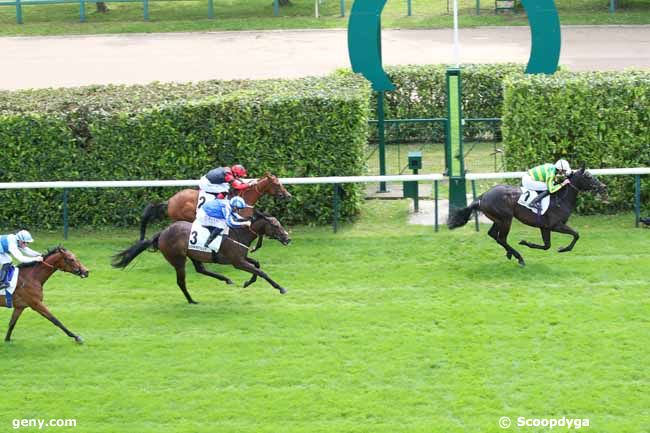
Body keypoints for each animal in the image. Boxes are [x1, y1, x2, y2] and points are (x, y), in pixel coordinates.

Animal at [114, 211, 292, 302]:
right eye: (275, 225)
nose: (288, 238)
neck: (238, 233)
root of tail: (162, 233)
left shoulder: (240, 258)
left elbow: (257, 265)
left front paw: (248, 282)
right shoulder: (237, 262)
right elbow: (261, 271)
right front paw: (280, 288)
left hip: (193, 254)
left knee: (201, 269)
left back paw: (225, 279)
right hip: (178, 260)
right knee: (181, 281)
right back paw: (191, 300)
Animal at [448, 169, 604, 266]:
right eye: (588, 176)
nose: (603, 186)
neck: (560, 199)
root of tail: (483, 197)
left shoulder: (544, 227)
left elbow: (547, 246)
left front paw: (527, 243)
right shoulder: (555, 225)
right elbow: (576, 234)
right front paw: (562, 249)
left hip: (499, 220)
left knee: (493, 235)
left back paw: (510, 253)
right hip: (506, 219)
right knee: (501, 238)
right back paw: (519, 257)